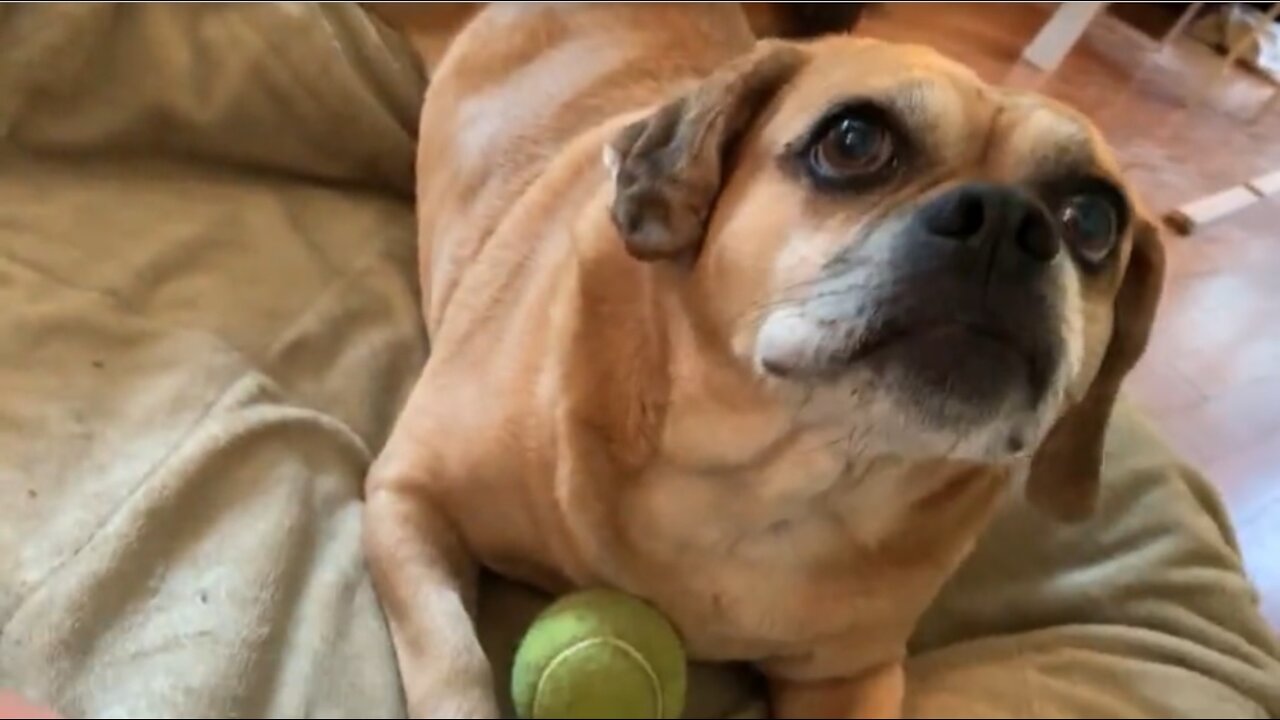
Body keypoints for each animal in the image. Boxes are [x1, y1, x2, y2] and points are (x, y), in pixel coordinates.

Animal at [363, 4, 1172, 712]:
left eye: (1092, 219)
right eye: (853, 141)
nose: (1005, 221)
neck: (777, 476)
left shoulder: (852, 677)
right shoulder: (406, 499)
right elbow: (453, 660)